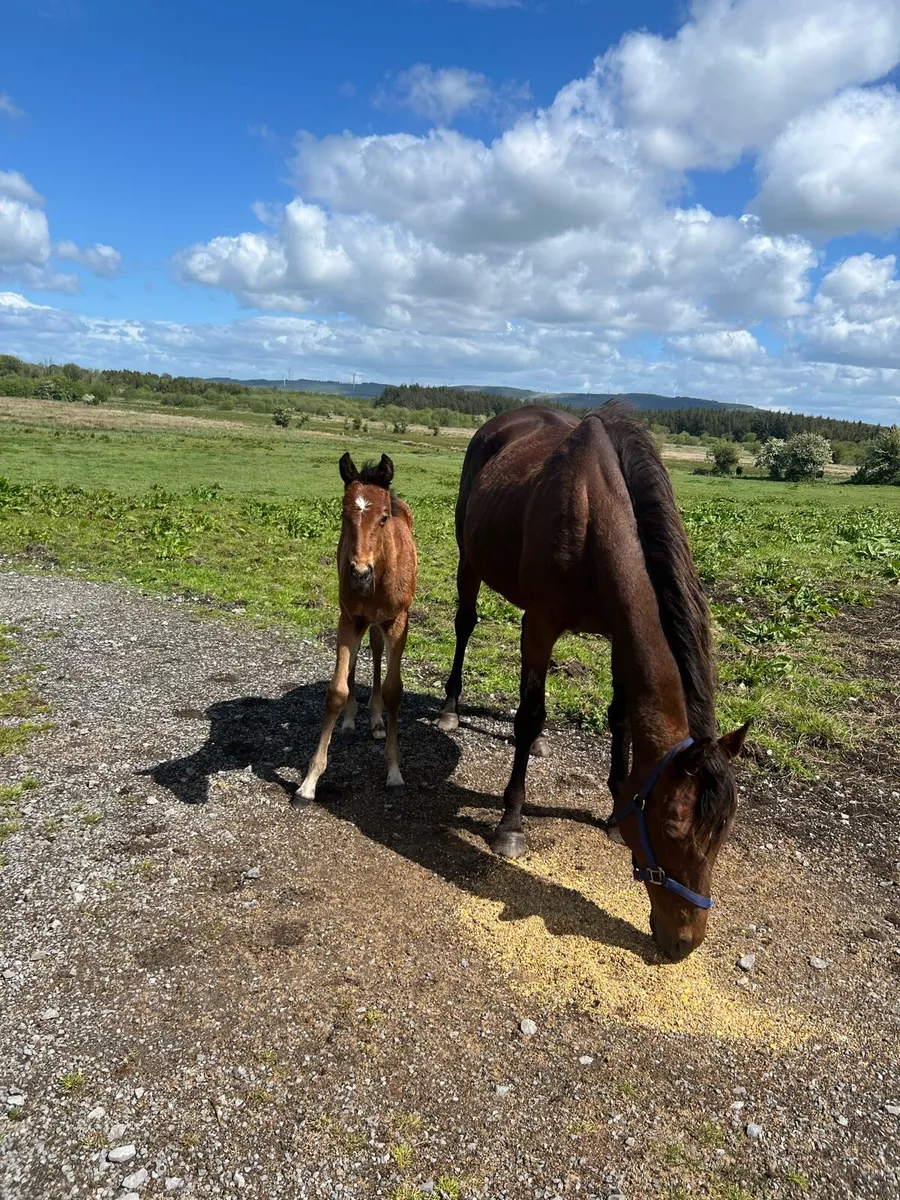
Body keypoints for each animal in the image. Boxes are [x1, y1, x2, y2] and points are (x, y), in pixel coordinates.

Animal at [298, 453, 417, 801]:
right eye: (343, 514)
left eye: (383, 518)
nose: (360, 574)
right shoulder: (349, 618)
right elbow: (337, 689)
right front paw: (309, 782)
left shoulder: (397, 621)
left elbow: (393, 690)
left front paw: (394, 771)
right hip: (358, 619)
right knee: (357, 659)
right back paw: (352, 718)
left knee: (376, 650)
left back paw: (376, 720)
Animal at [437, 402, 748, 960]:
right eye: (671, 826)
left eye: (724, 830)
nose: (685, 942)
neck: (592, 513)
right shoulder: (539, 623)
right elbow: (529, 711)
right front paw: (510, 824)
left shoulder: (617, 632)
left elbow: (620, 717)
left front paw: (614, 809)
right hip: (468, 560)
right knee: (465, 624)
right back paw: (451, 708)